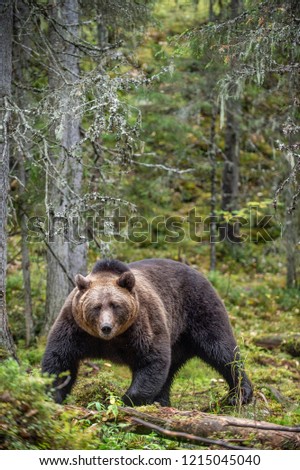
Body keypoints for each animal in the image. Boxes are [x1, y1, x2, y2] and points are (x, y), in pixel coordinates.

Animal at [42, 258, 253, 406]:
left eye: (115, 305)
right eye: (96, 306)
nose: (106, 327)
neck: (111, 340)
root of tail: (199, 273)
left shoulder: (142, 325)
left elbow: (152, 359)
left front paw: (127, 400)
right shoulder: (75, 328)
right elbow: (59, 359)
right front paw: (53, 395)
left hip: (199, 311)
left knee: (221, 350)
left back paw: (241, 394)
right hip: (178, 339)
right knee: (172, 368)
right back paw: (162, 401)